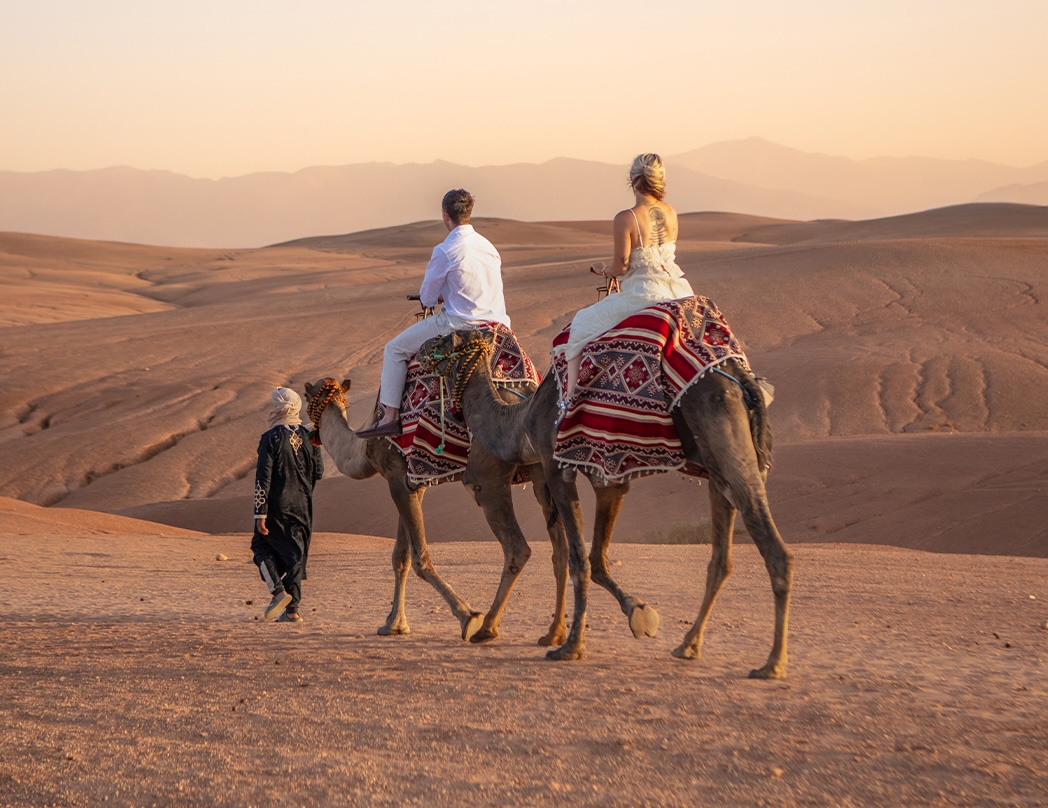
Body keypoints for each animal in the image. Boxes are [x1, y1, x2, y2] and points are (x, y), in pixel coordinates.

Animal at [302, 377, 569, 646]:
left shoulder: (396, 475)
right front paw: (394, 624)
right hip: (542, 470)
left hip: (487, 476)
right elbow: (401, 557)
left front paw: (467, 616)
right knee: (561, 550)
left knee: (517, 547)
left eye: (306, 398)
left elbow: (419, 559)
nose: (308, 432)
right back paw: (554, 632)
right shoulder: (411, 482)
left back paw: (488, 627)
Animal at [420, 329, 793, 678]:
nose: (421, 350)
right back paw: (688, 645)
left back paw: (772, 663)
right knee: (721, 558)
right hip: (720, 465)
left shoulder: (555, 466)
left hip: (724, 436)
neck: (521, 421)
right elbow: (597, 559)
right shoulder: (610, 481)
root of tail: (743, 380)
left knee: (775, 549)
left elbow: (579, 560)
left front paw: (571, 646)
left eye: (442, 339)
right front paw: (639, 613)